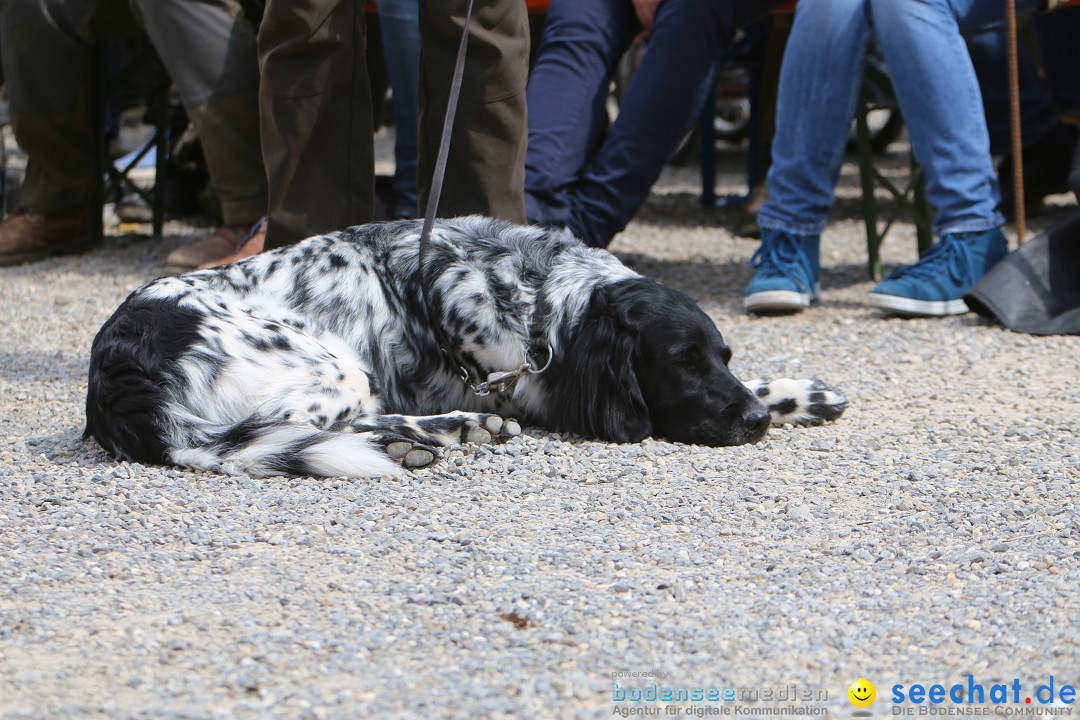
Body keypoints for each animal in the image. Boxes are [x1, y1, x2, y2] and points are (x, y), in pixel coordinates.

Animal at [86, 218, 842, 479]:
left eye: (722, 356)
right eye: (680, 362)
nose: (756, 424)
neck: (543, 299)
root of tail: (117, 365)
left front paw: (798, 393)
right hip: (333, 368)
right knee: (297, 427)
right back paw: (438, 433)